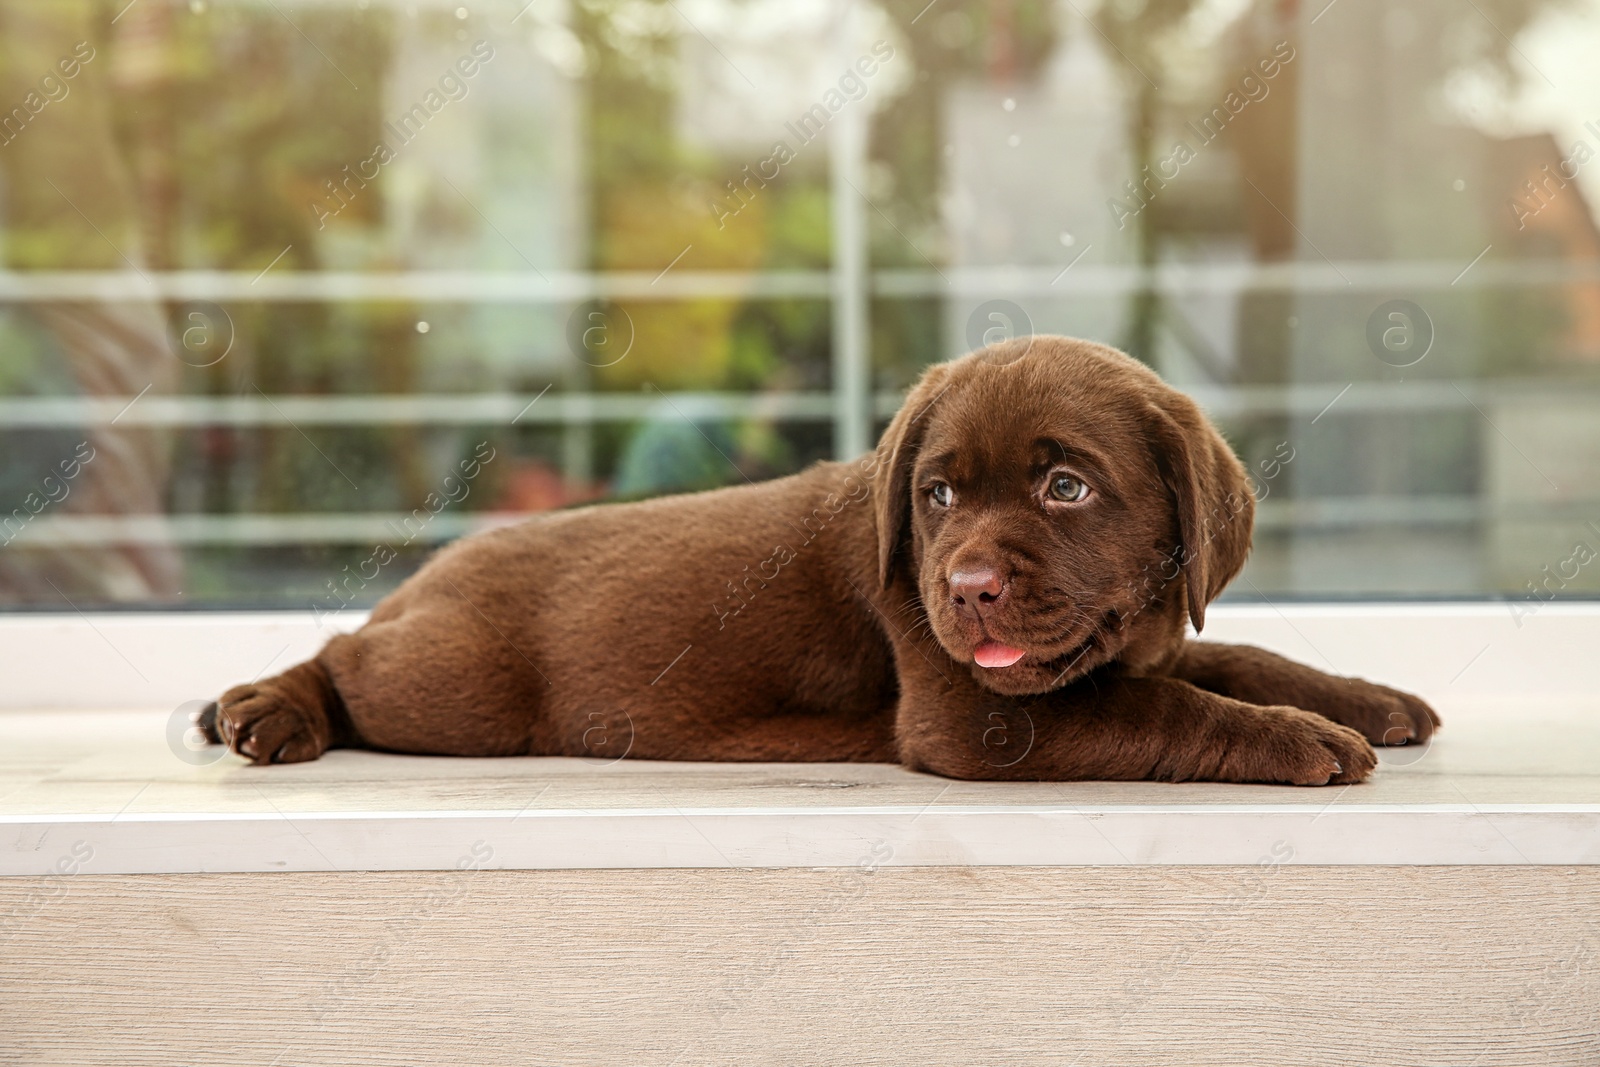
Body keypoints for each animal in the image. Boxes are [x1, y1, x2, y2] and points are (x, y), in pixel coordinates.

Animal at [206, 337, 1446, 790]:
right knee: (346, 650)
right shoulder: (976, 714)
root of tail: (435, 573)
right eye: (936, 495)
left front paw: (1362, 698)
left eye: (1066, 486)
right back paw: (265, 703)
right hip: (455, 684)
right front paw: (1302, 741)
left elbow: (1231, 658)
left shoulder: (1128, 643)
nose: (965, 589)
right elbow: (1172, 706)